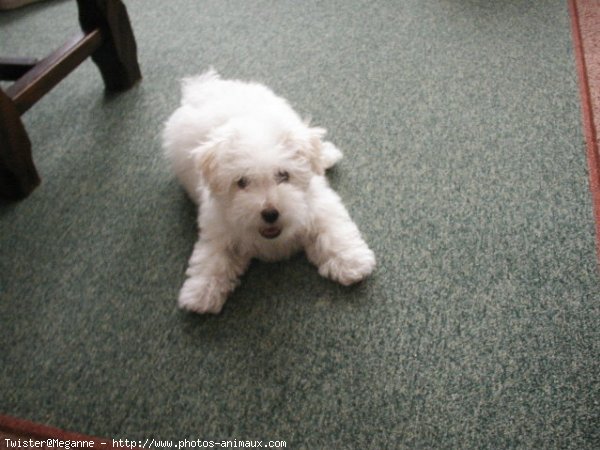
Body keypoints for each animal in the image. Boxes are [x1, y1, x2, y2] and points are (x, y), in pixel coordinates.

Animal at [162, 70, 372, 314]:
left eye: (283, 175)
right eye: (242, 182)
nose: (270, 213)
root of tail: (203, 88)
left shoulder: (319, 204)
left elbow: (332, 229)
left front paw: (351, 262)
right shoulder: (217, 227)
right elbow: (211, 257)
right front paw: (200, 292)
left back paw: (326, 154)